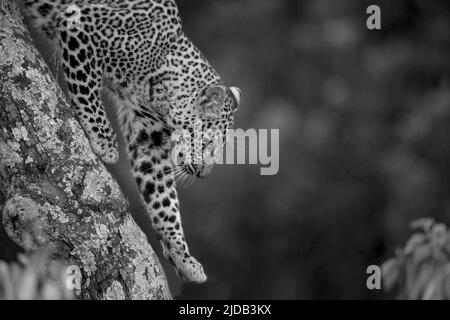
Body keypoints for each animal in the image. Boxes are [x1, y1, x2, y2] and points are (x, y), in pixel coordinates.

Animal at [21, 0, 243, 282]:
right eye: (207, 144)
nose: (204, 174)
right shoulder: (79, 27)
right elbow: (86, 87)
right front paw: (104, 140)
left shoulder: (149, 138)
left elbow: (163, 200)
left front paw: (183, 258)